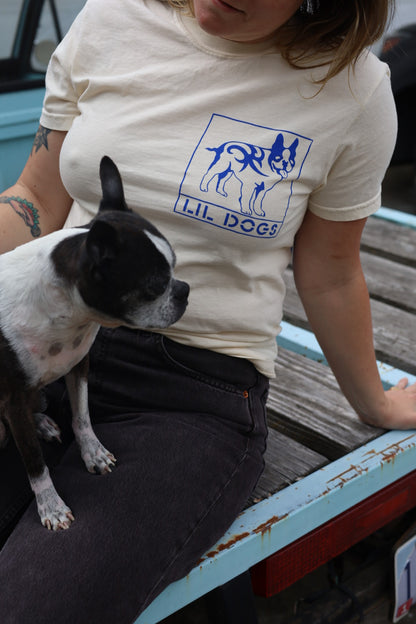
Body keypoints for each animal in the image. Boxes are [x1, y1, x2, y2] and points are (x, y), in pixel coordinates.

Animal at [0, 156, 189, 532]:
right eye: (156, 285)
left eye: (175, 268)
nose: (185, 290)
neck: (63, 313)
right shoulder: (12, 398)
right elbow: (35, 463)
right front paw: (51, 506)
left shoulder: (78, 366)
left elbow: (83, 415)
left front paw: (93, 452)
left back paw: (41, 422)